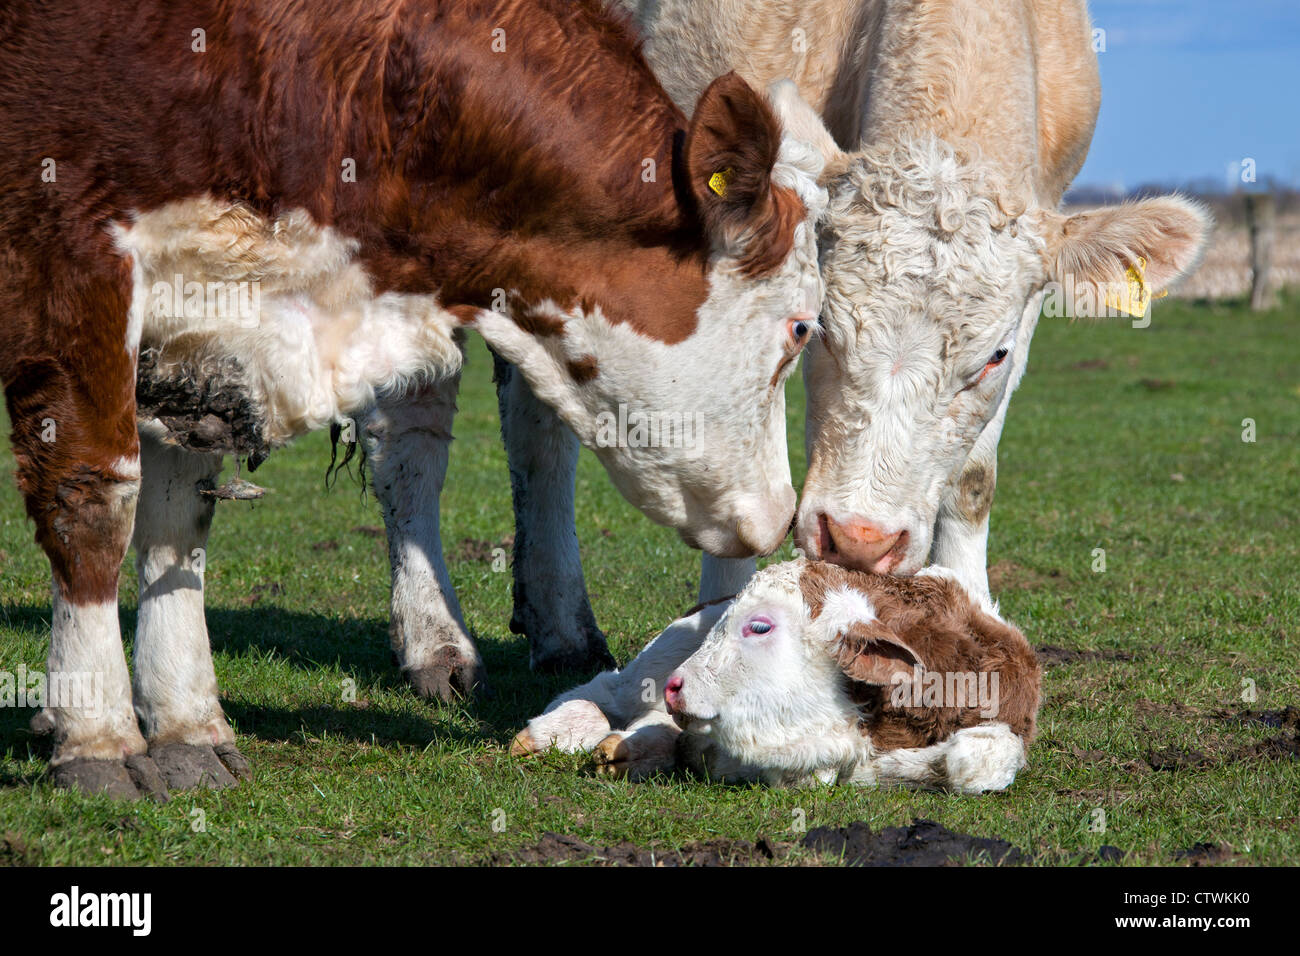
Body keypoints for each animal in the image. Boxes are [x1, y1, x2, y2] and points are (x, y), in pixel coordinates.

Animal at [0, 0, 826, 801]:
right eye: (799, 327)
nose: (777, 516)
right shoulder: (68, 255)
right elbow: (96, 500)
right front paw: (98, 735)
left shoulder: (199, 338)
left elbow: (178, 518)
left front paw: (186, 727)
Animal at [467, 0, 1206, 671]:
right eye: (819, 328)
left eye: (993, 358)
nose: (858, 541)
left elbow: (973, 476)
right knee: (532, 424)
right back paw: (547, 632)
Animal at [512, 561, 1040, 790]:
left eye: (760, 626)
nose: (677, 687)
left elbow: (976, 762)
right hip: (656, 659)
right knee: (605, 691)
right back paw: (550, 734)